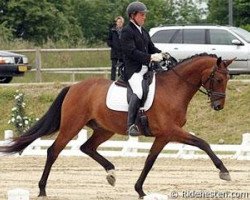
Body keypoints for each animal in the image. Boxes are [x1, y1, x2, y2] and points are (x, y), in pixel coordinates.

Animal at [0, 53, 234, 198]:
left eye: (227, 79)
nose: (219, 106)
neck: (174, 89)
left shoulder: (164, 135)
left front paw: (140, 190)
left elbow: (150, 160)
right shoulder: (171, 131)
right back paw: (42, 190)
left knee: (87, 147)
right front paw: (224, 172)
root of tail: (74, 87)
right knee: (53, 151)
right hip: (72, 125)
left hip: (105, 129)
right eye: (218, 79)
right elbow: (202, 143)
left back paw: (111, 173)